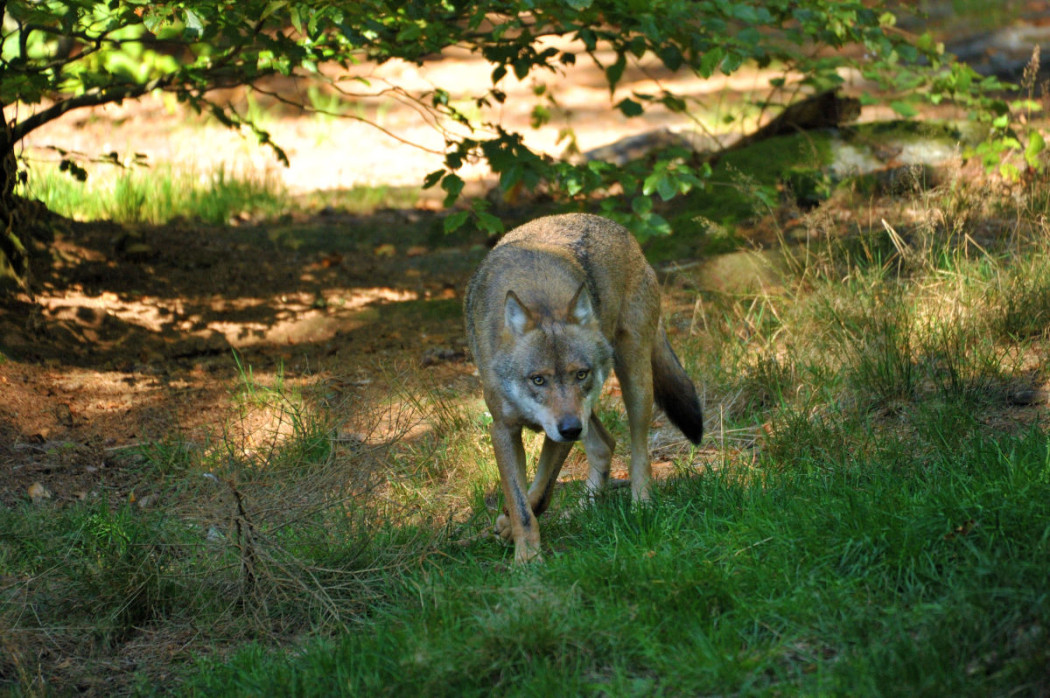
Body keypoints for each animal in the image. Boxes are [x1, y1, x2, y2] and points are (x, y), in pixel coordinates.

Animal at [464, 213, 704, 563]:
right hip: (589, 411)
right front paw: (526, 555)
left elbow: (540, 492)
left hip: (633, 383)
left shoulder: (561, 431)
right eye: (538, 379)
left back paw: (641, 507)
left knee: (638, 453)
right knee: (605, 444)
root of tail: (620, 229)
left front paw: (523, 551)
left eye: (580, 374)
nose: (570, 429)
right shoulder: (504, 429)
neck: (540, 297)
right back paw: (584, 510)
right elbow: (521, 503)